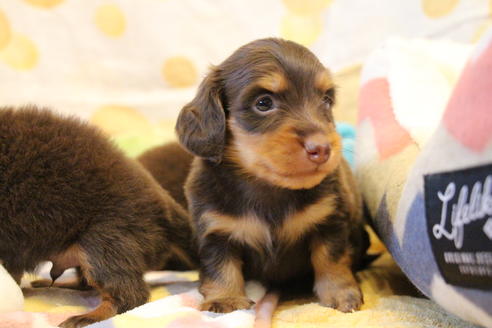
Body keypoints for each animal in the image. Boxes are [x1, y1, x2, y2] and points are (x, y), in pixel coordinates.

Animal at [175, 37, 370, 314]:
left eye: (326, 100)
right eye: (264, 103)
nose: (322, 149)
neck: (269, 189)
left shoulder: (329, 222)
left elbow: (331, 259)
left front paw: (340, 293)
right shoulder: (216, 232)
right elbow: (221, 267)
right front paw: (226, 299)